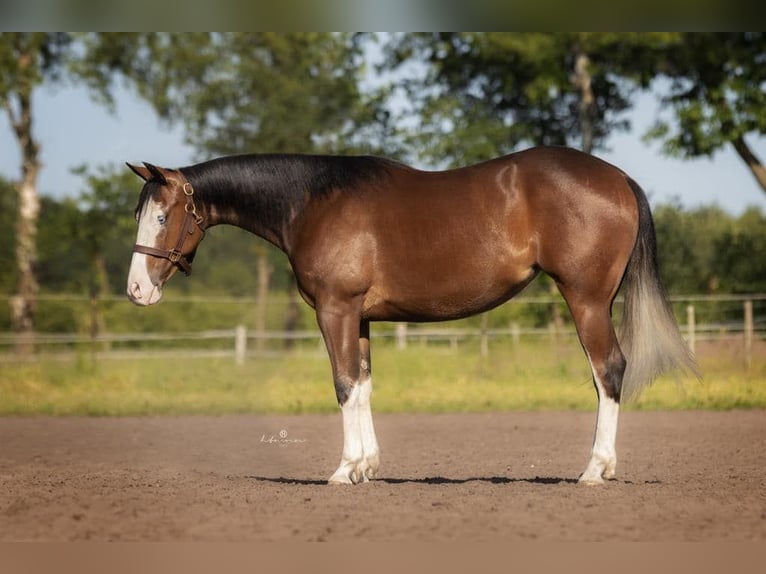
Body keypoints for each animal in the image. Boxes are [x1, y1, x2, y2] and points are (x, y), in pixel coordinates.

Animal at [126, 146, 697, 485]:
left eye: (163, 215)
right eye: (140, 214)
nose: (136, 290)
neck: (312, 202)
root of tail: (619, 177)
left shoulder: (336, 309)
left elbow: (342, 385)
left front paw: (343, 471)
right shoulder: (359, 317)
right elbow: (362, 385)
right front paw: (366, 466)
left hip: (586, 300)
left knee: (608, 371)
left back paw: (595, 470)